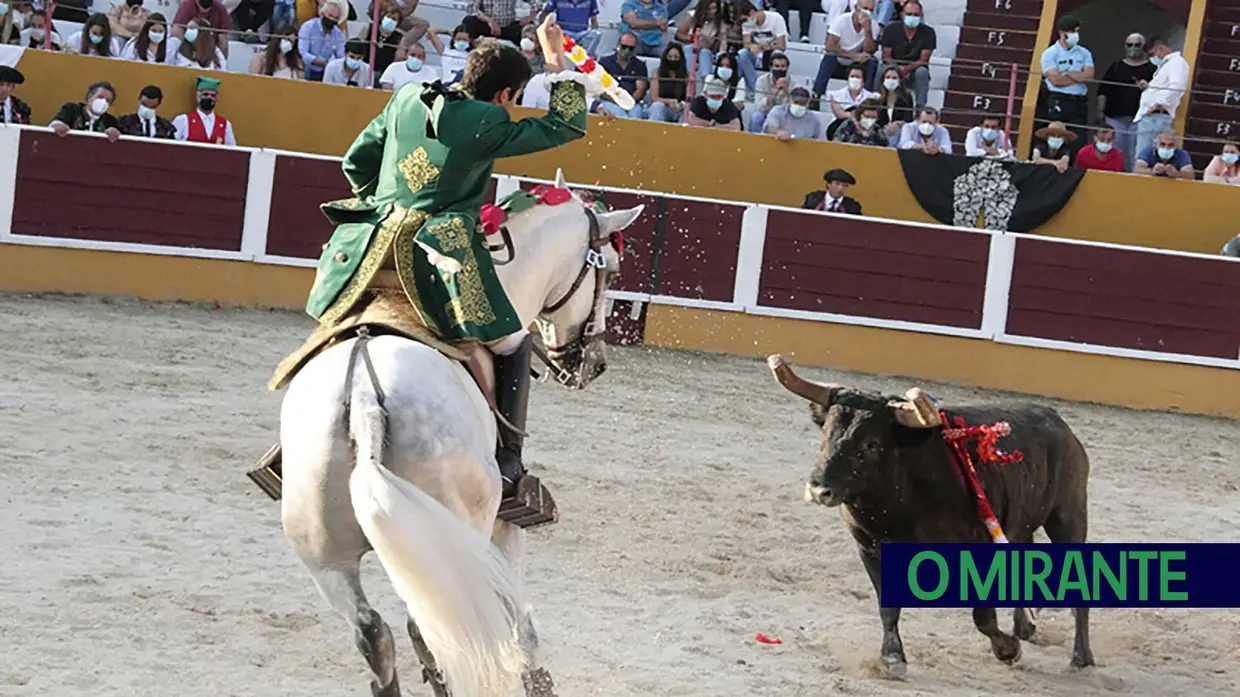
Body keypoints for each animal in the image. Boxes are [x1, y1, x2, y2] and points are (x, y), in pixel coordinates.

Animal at [281, 169, 644, 694]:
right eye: (611, 270)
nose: (592, 362)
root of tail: (366, 399)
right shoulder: (504, 527)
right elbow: (519, 623)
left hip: (326, 558)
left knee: (377, 633)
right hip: (455, 531)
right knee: (436, 628)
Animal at [763, 354, 1096, 674]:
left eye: (871, 444)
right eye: (826, 434)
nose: (819, 489)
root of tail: (1059, 423)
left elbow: (982, 615)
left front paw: (1007, 650)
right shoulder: (869, 547)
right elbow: (887, 607)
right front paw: (892, 657)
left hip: (1068, 517)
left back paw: (1081, 657)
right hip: (1023, 523)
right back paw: (1025, 628)